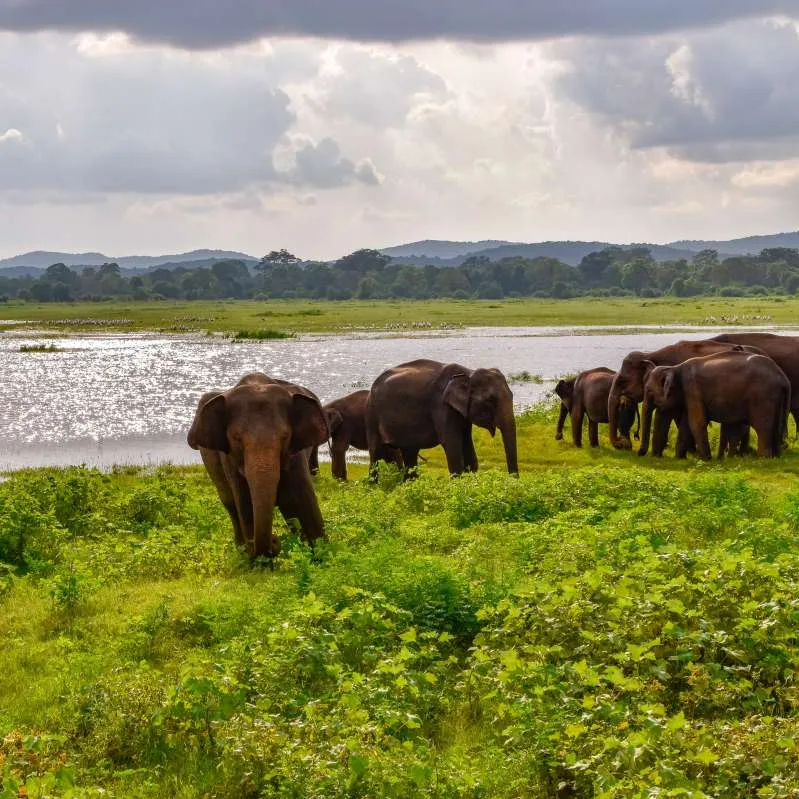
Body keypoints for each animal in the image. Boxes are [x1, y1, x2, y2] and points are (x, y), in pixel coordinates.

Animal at [189, 374, 330, 556]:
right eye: (237, 438)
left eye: (285, 437)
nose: (275, 540)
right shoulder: (230, 459)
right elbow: (245, 503)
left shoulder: (295, 455)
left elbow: (302, 499)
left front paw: (322, 553)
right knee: (230, 503)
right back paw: (241, 548)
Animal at [368, 360, 520, 478]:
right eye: (490, 400)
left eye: (512, 395)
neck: (467, 373)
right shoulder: (441, 407)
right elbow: (451, 445)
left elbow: (469, 452)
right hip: (372, 415)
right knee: (375, 456)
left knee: (410, 453)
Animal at [636, 352, 788, 460]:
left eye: (649, 391)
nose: (640, 453)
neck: (675, 367)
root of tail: (783, 377)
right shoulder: (687, 396)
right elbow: (685, 424)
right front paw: (679, 458)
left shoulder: (692, 390)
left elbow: (696, 422)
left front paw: (706, 459)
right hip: (776, 399)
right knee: (775, 426)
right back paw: (775, 457)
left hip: (763, 397)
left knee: (763, 427)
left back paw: (763, 459)